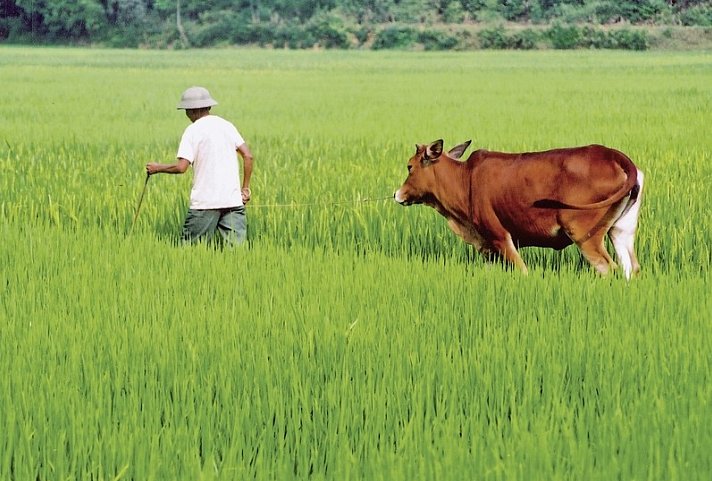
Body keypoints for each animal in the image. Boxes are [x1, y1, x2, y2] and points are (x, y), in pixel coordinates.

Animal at [394, 139, 644, 278]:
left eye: (409, 166)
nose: (397, 194)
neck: (464, 179)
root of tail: (615, 156)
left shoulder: (500, 237)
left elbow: (522, 271)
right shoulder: (488, 247)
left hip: (585, 235)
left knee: (608, 268)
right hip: (620, 231)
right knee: (631, 268)